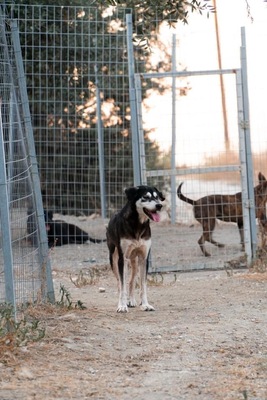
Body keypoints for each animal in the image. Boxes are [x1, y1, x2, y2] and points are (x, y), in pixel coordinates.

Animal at [106, 184, 165, 312]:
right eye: (145, 197)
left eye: (157, 197)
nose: (159, 206)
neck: (138, 224)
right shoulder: (122, 259)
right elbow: (122, 285)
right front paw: (122, 306)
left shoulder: (143, 258)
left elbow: (143, 285)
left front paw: (145, 304)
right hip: (114, 259)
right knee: (120, 283)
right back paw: (123, 301)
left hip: (134, 263)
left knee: (131, 281)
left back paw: (131, 300)